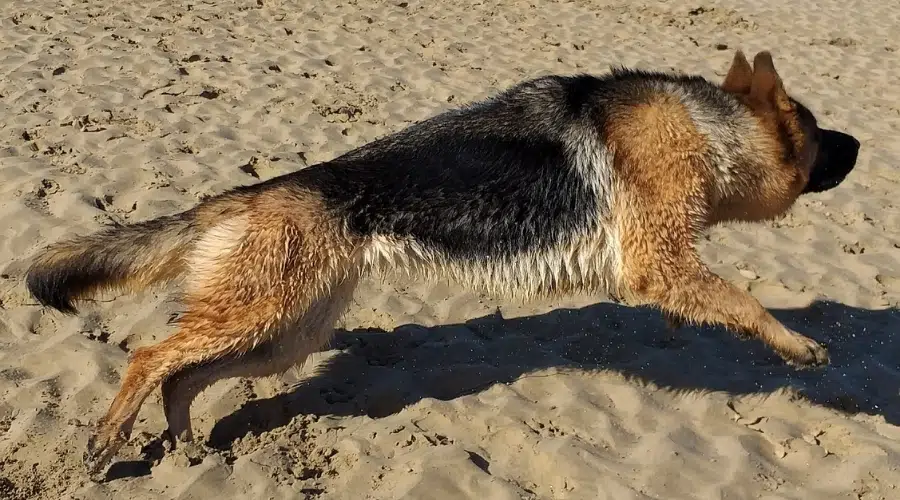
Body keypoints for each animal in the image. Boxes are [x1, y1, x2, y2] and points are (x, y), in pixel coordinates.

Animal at [24, 51, 860, 476]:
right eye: (824, 134)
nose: (864, 144)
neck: (711, 127)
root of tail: (241, 197)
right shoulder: (661, 265)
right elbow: (747, 303)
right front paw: (799, 346)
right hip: (266, 317)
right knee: (149, 356)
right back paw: (105, 446)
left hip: (284, 333)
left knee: (182, 375)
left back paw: (189, 446)